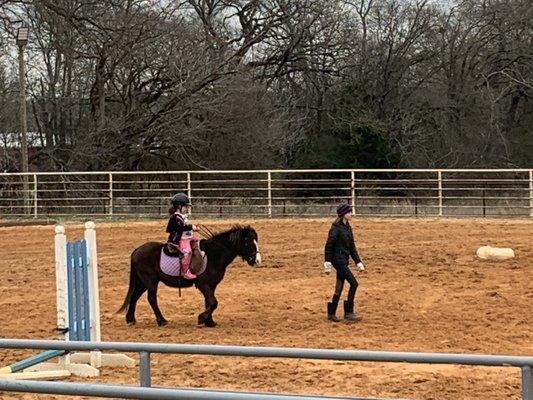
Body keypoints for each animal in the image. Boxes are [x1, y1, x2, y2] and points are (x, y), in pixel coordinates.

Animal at [116, 225, 260, 324]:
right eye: (247, 241)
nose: (257, 260)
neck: (213, 254)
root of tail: (137, 250)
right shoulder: (202, 284)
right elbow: (213, 302)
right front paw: (202, 318)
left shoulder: (211, 285)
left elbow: (209, 302)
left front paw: (209, 322)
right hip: (150, 281)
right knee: (151, 299)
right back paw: (162, 321)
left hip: (143, 282)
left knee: (135, 297)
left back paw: (131, 319)